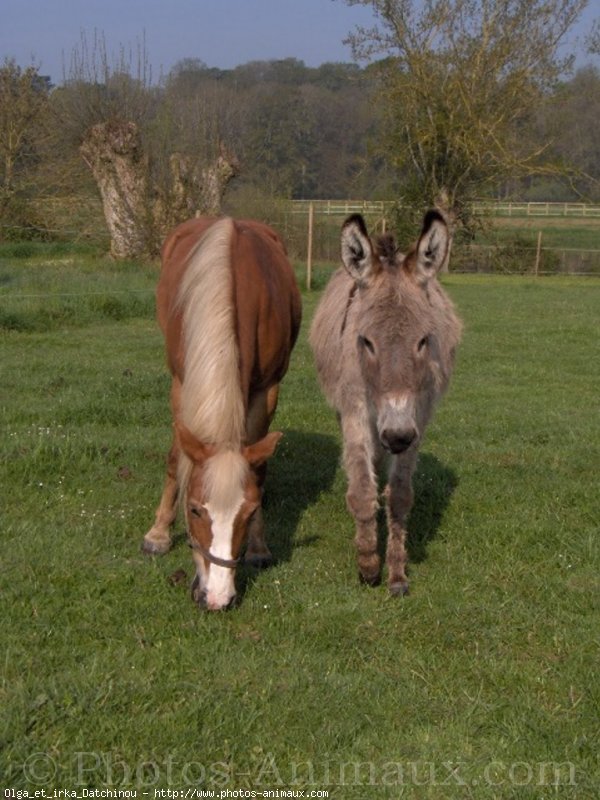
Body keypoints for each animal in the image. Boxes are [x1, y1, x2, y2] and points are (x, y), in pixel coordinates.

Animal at [143, 216, 302, 608]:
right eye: (195, 509)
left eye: (248, 512)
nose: (216, 597)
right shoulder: (182, 385)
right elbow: (176, 459)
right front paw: (158, 534)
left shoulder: (266, 390)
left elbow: (258, 469)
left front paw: (259, 546)